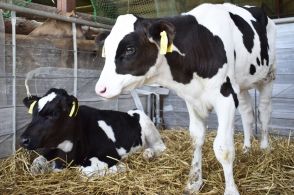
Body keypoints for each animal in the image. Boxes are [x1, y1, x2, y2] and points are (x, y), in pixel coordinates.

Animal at [20, 88, 167, 177]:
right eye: (33, 112)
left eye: (54, 113)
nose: (23, 140)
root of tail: (132, 111)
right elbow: (36, 164)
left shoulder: (110, 154)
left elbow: (84, 171)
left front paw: (119, 168)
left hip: (149, 128)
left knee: (160, 147)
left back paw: (148, 154)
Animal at [94, 3, 276, 195]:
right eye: (106, 50)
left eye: (130, 49)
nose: (100, 89)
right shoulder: (193, 99)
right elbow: (196, 138)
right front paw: (194, 181)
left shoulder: (225, 96)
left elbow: (223, 149)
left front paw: (231, 190)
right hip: (240, 86)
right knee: (247, 113)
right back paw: (247, 148)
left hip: (268, 75)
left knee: (264, 111)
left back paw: (265, 148)